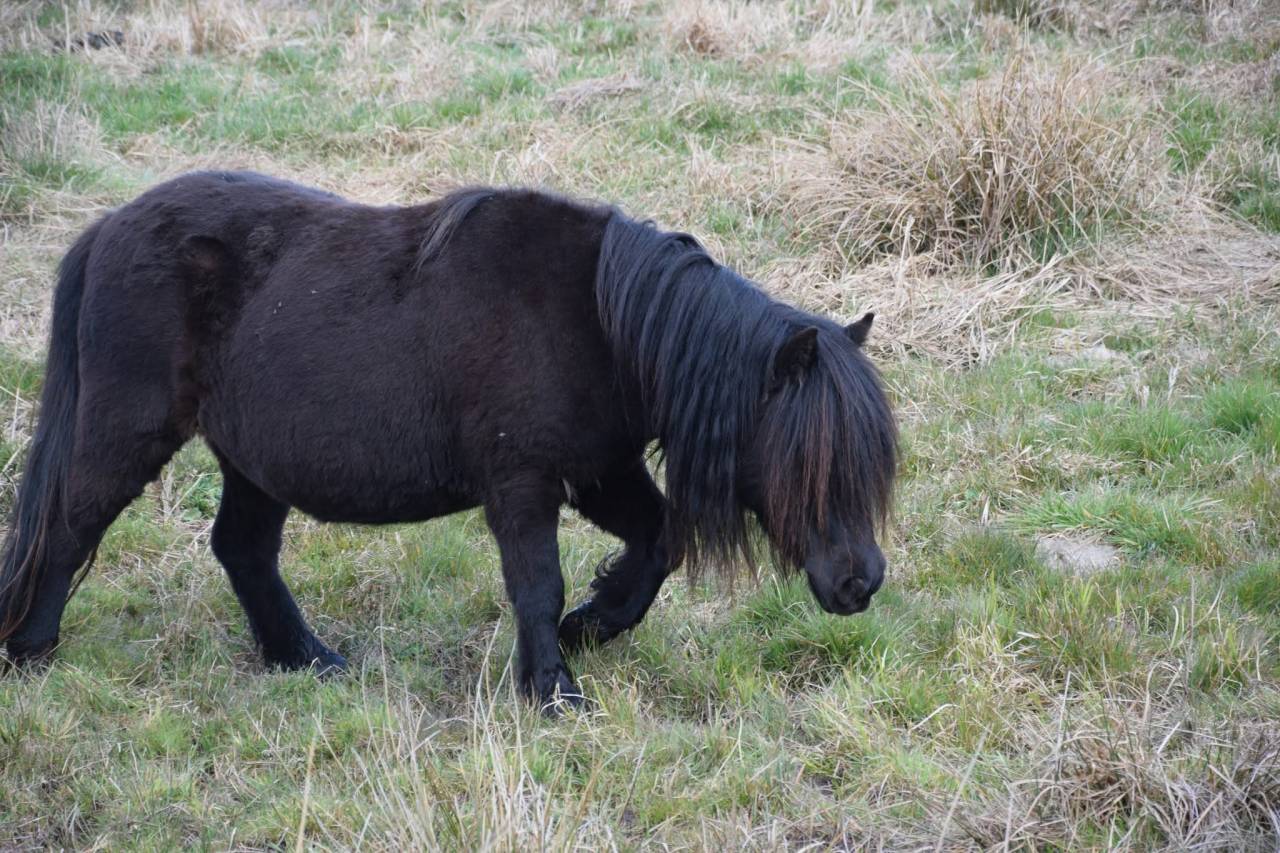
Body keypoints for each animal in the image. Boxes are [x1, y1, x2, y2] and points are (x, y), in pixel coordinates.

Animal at [0, 172, 896, 711]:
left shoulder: (599, 470)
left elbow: (658, 543)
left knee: (242, 550)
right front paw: (553, 689)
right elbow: (536, 582)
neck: (598, 322)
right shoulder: (525, 483)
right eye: (810, 465)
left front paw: (593, 625)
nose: (862, 583)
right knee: (70, 527)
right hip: (129, 432)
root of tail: (107, 229)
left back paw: (306, 658)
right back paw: (32, 650)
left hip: (252, 461)